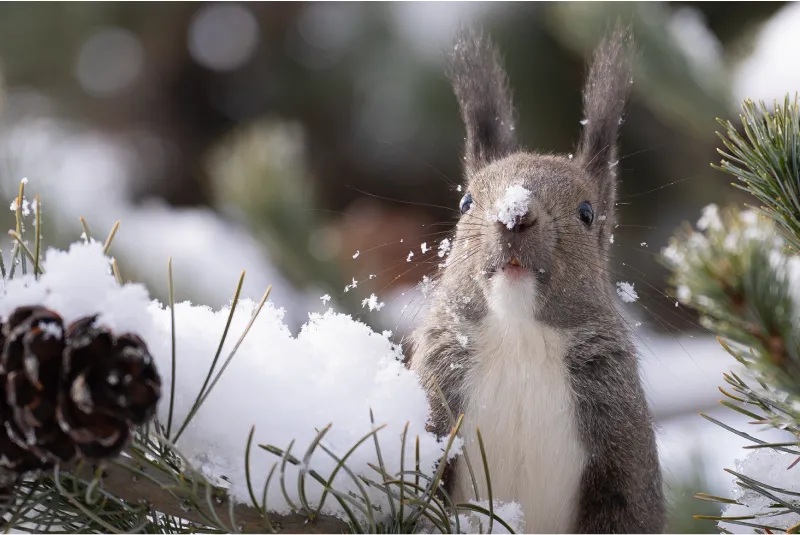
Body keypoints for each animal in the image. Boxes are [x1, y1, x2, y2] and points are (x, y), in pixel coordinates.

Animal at [408, 26, 666, 533]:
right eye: (466, 202)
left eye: (587, 213)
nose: (515, 215)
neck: (519, 338)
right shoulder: (431, 401)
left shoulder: (624, 443)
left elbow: (628, 511)